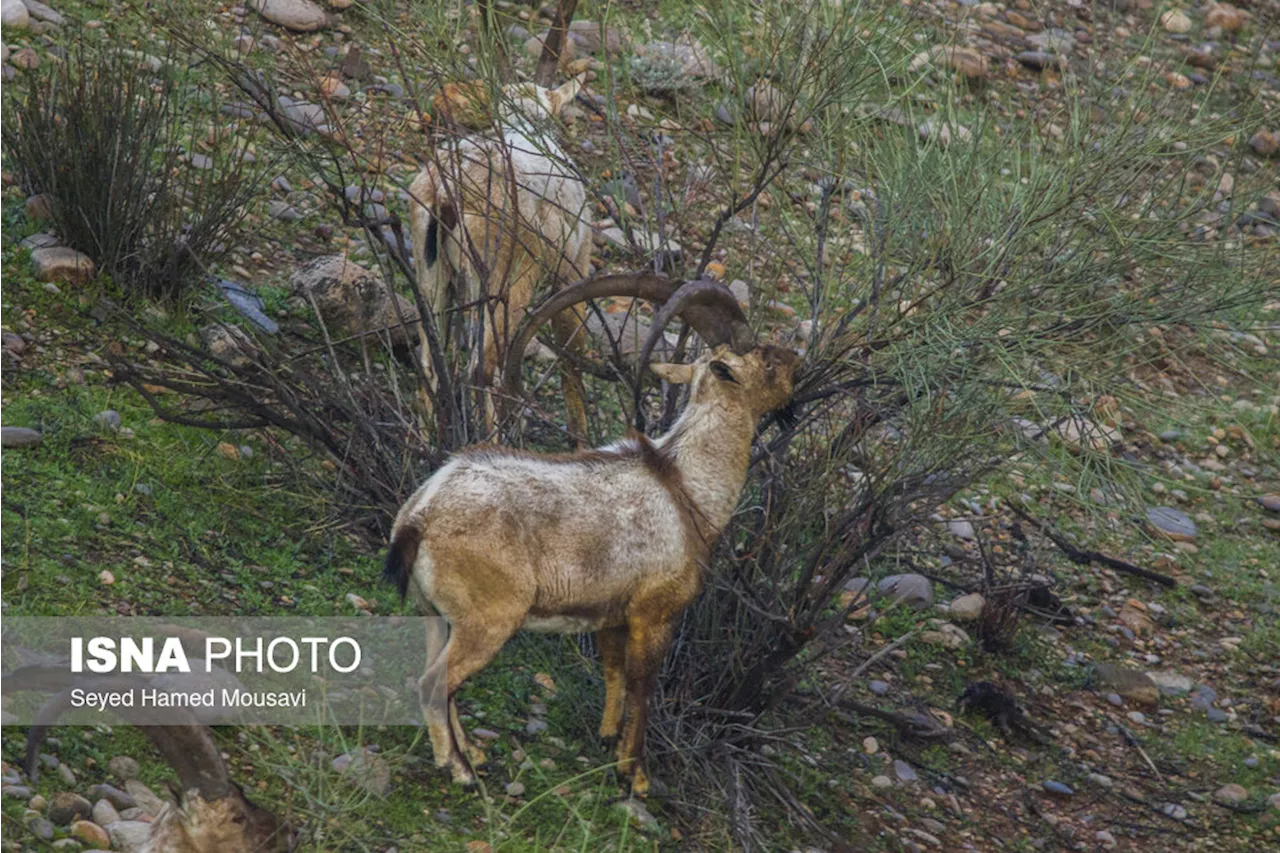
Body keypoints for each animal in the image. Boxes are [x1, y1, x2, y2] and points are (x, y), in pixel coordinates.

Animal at [381, 277, 798, 788]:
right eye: (765, 359)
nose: (797, 362)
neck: (687, 488)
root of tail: (419, 514)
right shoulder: (653, 613)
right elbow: (642, 686)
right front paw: (635, 775)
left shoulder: (611, 617)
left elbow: (614, 674)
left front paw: (606, 740)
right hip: (489, 618)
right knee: (433, 683)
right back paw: (459, 769)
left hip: (434, 616)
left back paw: (471, 754)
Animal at [407, 76, 591, 440]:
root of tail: (445, 195)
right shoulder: (573, 269)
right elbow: (571, 354)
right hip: (504, 280)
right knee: (483, 367)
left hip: (431, 273)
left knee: (432, 362)